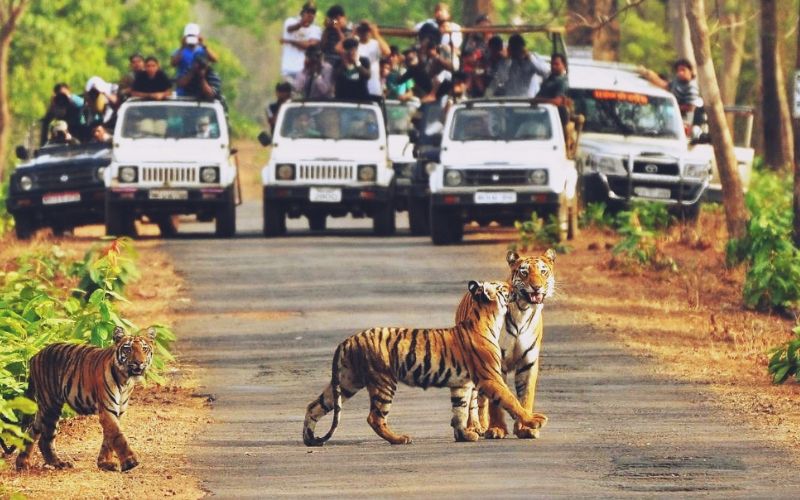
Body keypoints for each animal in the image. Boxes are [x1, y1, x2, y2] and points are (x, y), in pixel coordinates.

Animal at [9, 326, 156, 470]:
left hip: (45, 407)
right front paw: (130, 462)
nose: (139, 362)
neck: (125, 380)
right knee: (45, 440)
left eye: (144, 349)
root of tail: (35, 356)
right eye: (128, 349)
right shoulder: (107, 410)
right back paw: (58, 463)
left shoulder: (118, 411)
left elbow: (108, 438)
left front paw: (105, 463)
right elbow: (117, 436)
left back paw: (22, 463)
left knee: (32, 430)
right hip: (51, 405)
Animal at [304, 280, 548, 448]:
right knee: (375, 417)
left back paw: (309, 439)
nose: (514, 285)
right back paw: (400, 439)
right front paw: (534, 420)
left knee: (315, 405)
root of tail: (347, 340)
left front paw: (464, 435)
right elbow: (511, 400)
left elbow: (459, 410)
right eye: (503, 287)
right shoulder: (490, 377)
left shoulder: (462, 384)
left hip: (347, 381)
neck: (489, 319)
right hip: (383, 381)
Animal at [456, 248, 556, 440]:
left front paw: (526, 428)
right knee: (473, 399)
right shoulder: (497, 363)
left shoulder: (528, 363)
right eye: (524, 272)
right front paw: (497, 429)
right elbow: (497, 401)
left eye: (543, 272)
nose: (537, 286)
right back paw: (474, 427)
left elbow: (525, 397)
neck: (523, 310)